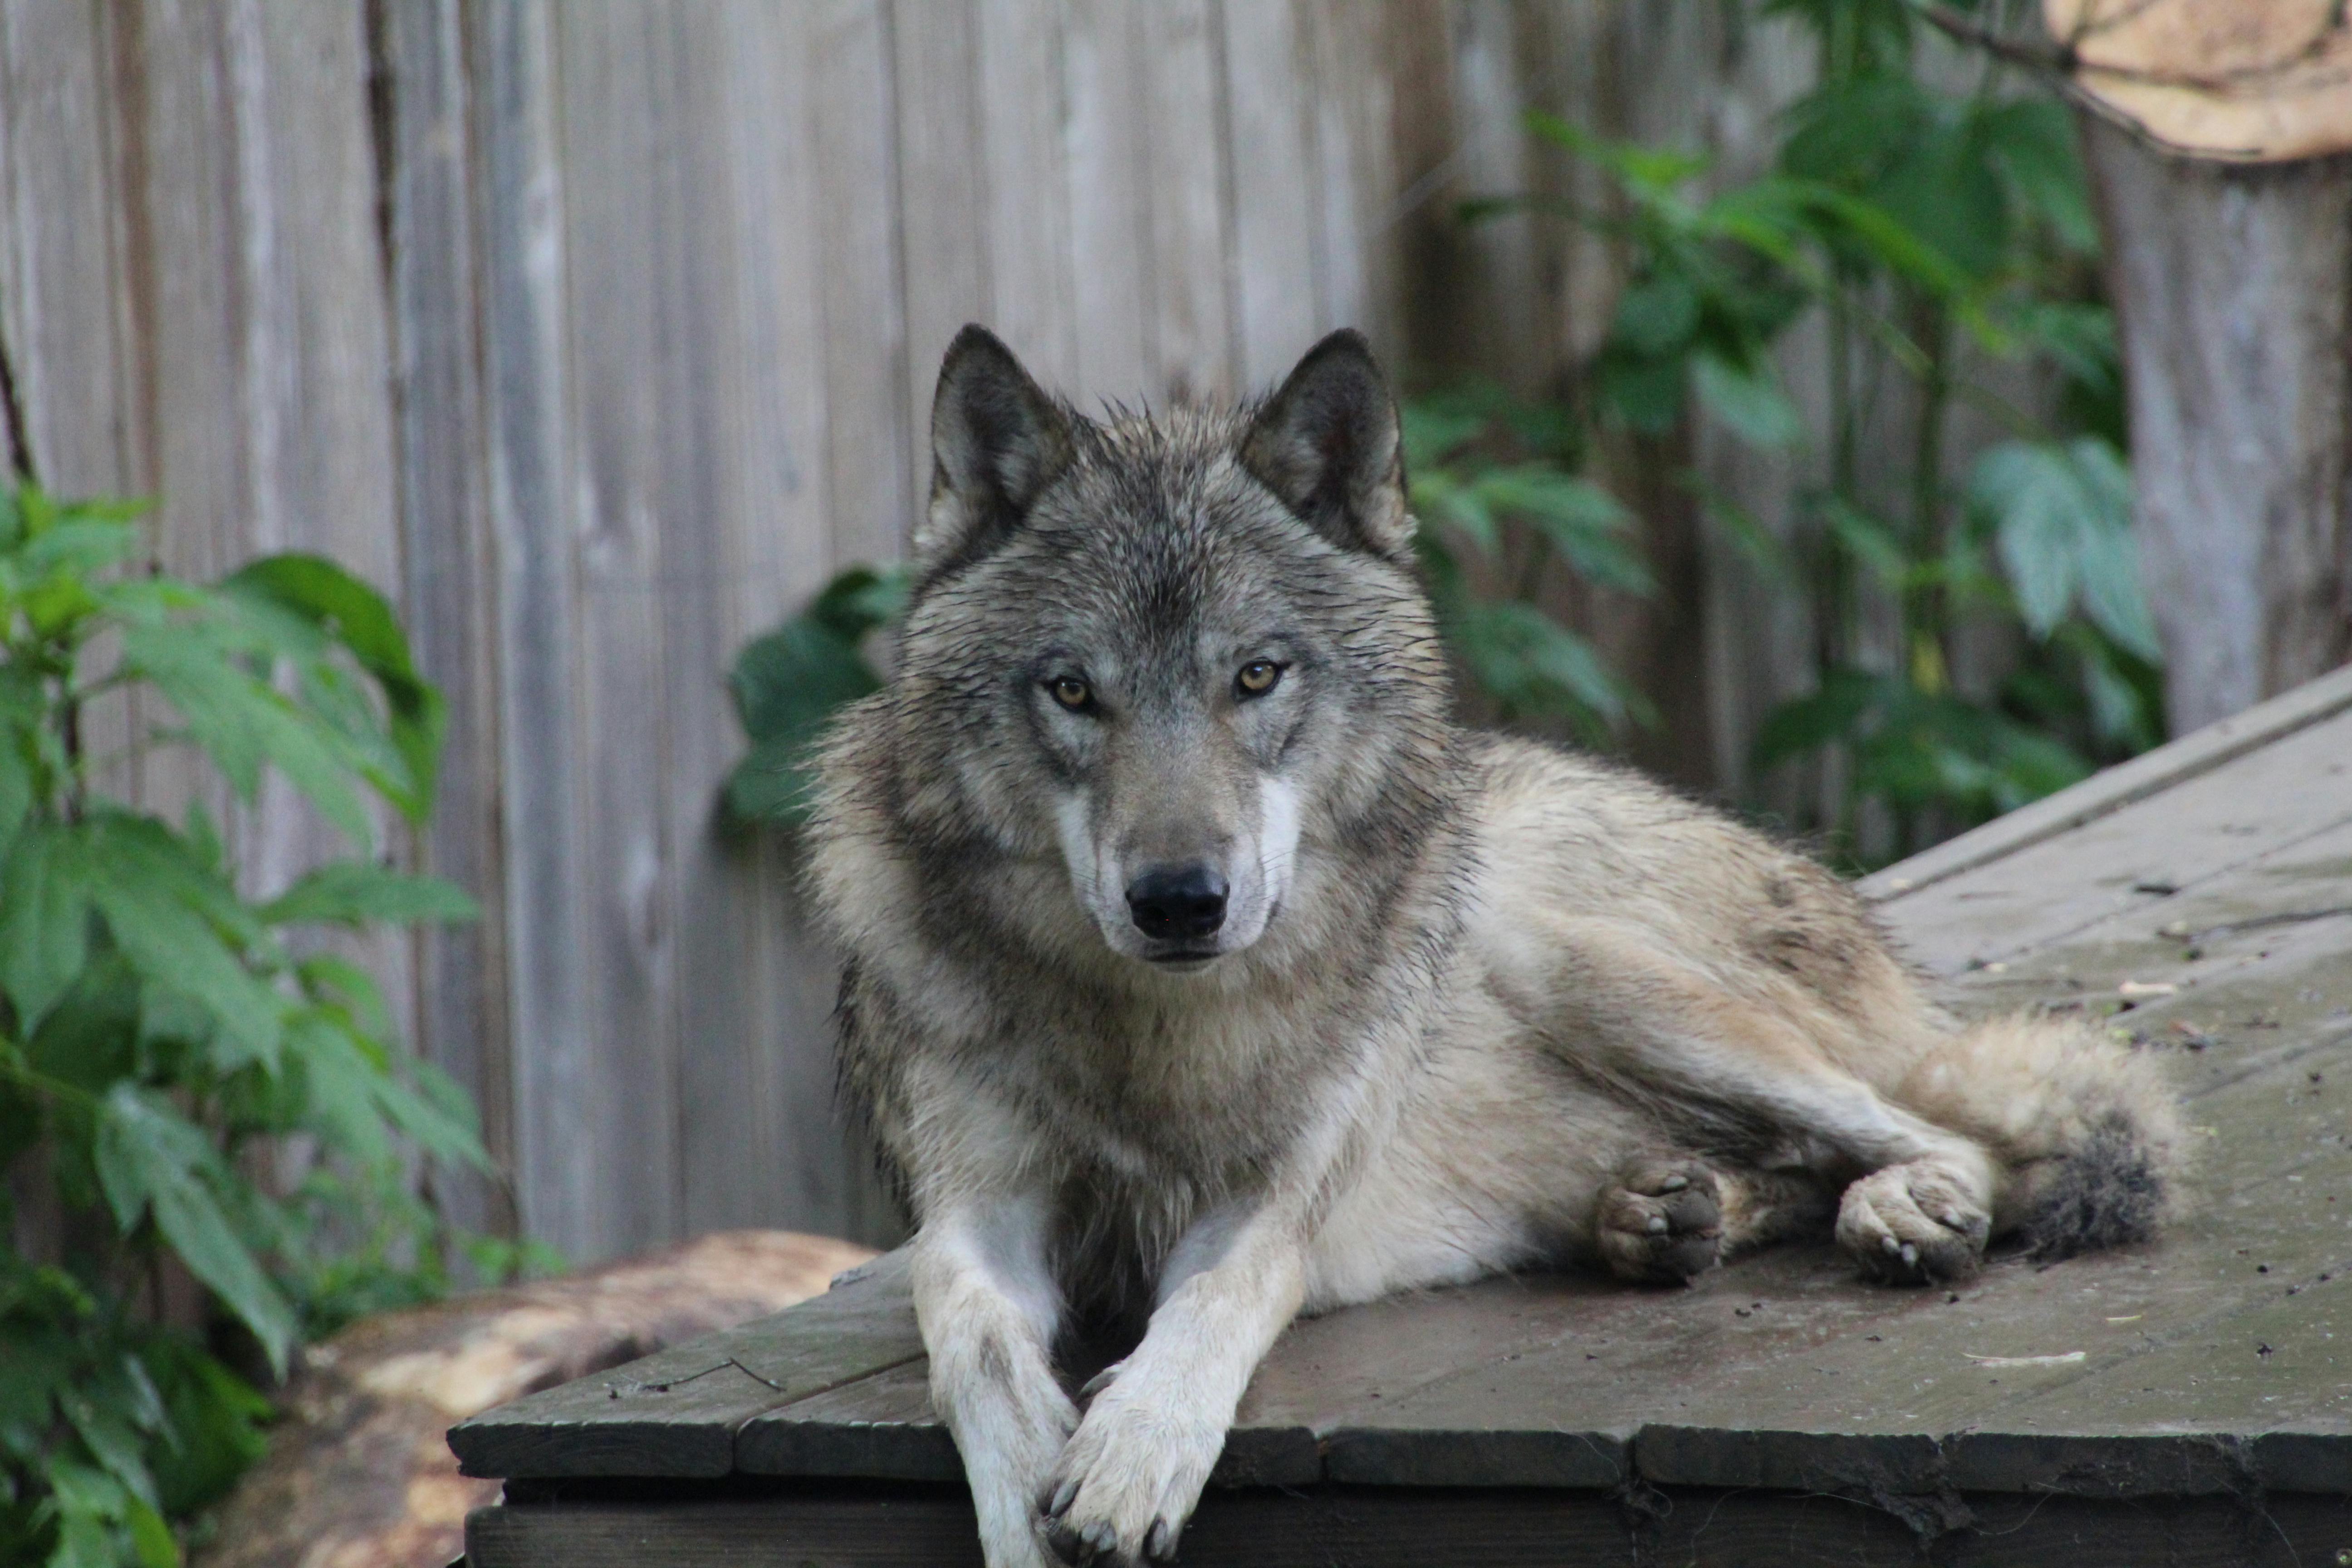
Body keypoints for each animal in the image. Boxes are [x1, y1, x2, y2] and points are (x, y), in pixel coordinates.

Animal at [806, 325, 2182, 1568]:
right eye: (1073, 691)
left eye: (1255, 677)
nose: (1181, 900)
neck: (1149, 1035)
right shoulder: (976, 1213)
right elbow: (966, 1330)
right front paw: (1032, 1478)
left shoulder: (1269, 1206)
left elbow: (1210, 1304)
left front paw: (1133, 1452)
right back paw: (1668, 1211)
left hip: (1565, 960)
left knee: (1947, 1136)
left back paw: (1890, 1205)